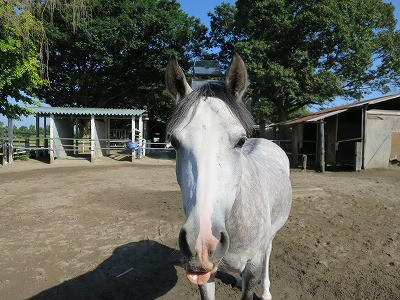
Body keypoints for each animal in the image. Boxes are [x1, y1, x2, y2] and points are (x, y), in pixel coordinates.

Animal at [164, 54, 292, 300]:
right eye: (174, 142)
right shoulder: (205, 273)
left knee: (269, 251)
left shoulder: (254, 265)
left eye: (241, 141)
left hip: (270, 237)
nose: (202, 243)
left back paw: (266, 291)